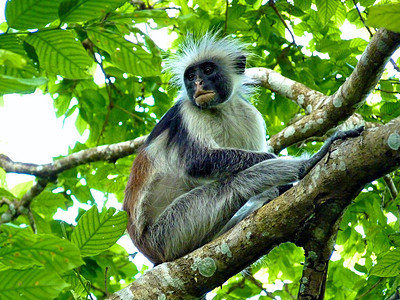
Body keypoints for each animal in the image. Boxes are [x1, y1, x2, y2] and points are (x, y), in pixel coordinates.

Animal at [122, 32, 362, 264]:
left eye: (207, 70)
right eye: (190, 76)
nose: (198, 83)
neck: (219, 109)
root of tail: (151, 252)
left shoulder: (248, 114)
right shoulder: (188, 110)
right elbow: (198, 161)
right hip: (170, 230)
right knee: (236, 183)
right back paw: (306, 164)